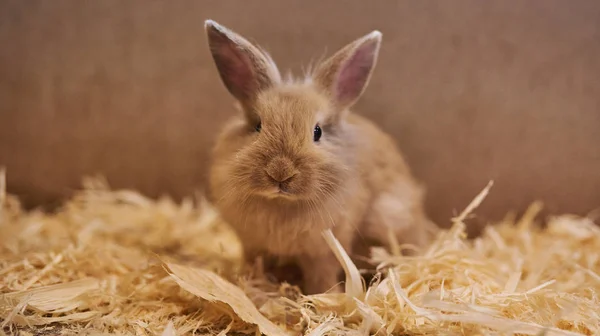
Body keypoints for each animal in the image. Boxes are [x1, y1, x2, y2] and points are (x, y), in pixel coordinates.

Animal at [204, 20, 438, 294]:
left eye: (317, 132)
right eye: (257, 126)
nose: (280, 172)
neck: (282, 203)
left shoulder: (323, 251)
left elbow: (322, 276)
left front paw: (326, 296)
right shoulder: (253, 246)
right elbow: (254, 266)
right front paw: (252, 286)